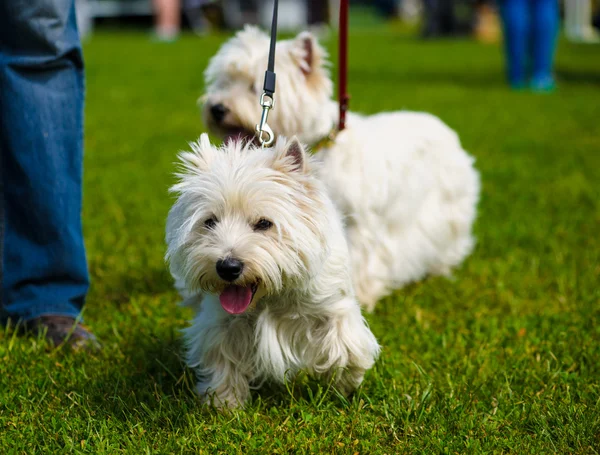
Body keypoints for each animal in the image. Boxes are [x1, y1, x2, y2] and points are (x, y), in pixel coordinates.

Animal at [164, 134, 380, 410]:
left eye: (264, 223)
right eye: (210, 222)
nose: (228, 267)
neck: (271, 295)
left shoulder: (332, 307)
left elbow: (346, 347)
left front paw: (344, 385)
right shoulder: (222, 322)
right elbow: (223, 357)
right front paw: (224, 403)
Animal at [202, 26, 482, 312]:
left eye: (254, 86)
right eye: (223, 82)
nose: (217, 109)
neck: (319, 150)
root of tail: (442, 126)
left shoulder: (358, 224)